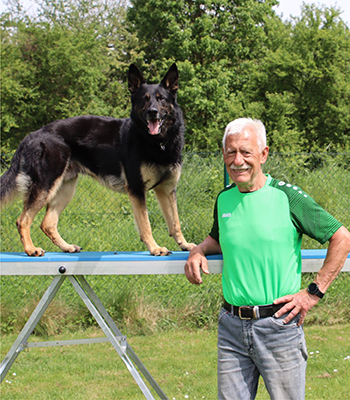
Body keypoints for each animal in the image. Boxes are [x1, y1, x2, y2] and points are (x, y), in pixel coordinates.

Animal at [0, 62, 197, 256]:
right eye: (145, 99)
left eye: (161, 98)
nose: (152, 112)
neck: (158, 143)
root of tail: (31, 136)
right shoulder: (137, 189)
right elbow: (145, 224)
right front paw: (155, 248)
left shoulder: (167, 190)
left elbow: (175, 223)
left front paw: (184, 245)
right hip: (45, 186)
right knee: (23, 220)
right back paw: (30, 249)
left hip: (65, 189)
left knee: (47, 224)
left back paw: (66, 247)